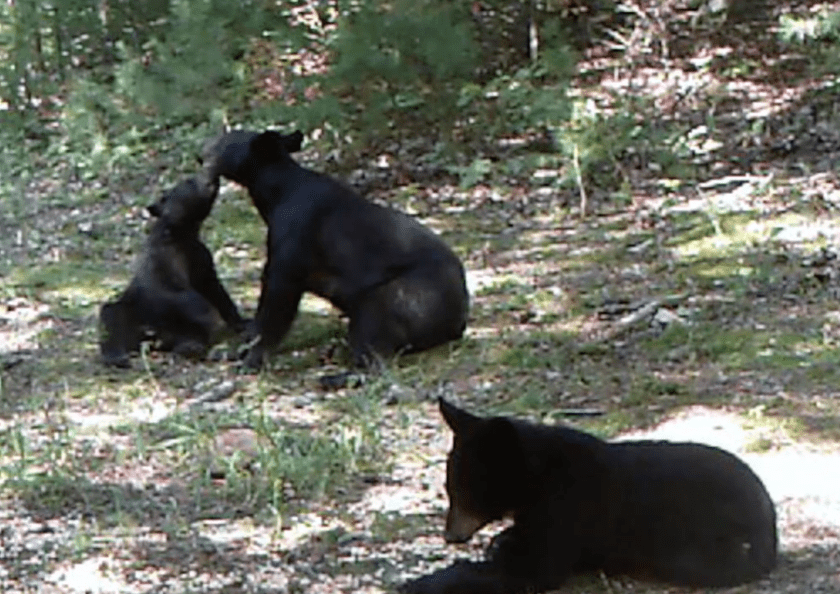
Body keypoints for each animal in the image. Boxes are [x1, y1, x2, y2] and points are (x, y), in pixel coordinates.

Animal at [99, 172, 248, 368]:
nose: (212, 177)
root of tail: (158, 340)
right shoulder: (163, 259)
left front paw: (238, 321)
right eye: (189, 181)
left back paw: (190, 347)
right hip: (135, 313)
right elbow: (177, 291)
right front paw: (216, 321)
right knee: (111, 316)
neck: (182, 233)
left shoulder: (200, 257)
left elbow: (214, 289)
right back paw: (117, 356)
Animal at [199, 129, 470, 377]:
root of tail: (459, 322)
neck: (277, 190)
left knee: (375, 355)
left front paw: (251, 361)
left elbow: (269, 319)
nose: (200, 152)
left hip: (392, 299)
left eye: (226, 139)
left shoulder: (286, 268)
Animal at [399, 398, 778, 594]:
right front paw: (502, 540)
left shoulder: (569, 504)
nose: (449, 536)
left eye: (464, 490)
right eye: (449, 488)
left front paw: (425, 581)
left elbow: (533, 570)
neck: (537, 478)